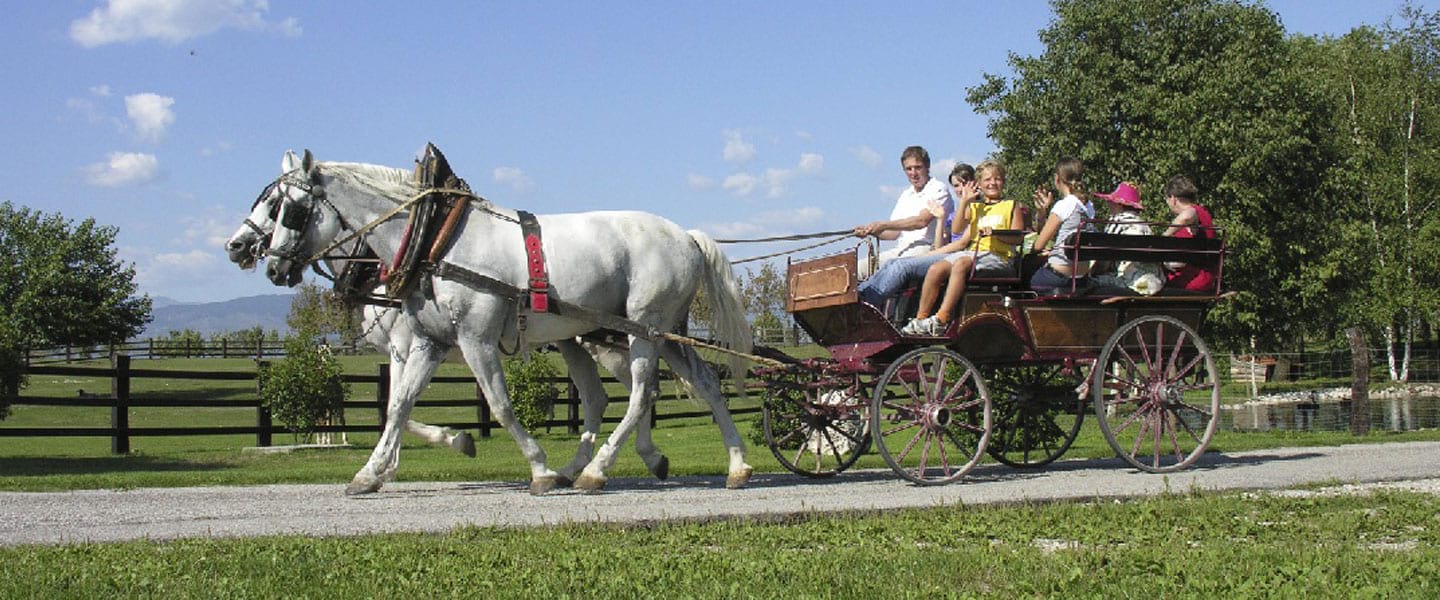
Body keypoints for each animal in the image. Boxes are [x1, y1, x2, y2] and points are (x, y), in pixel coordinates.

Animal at [253, 151, 754, 492]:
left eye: (286, 209)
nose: (270, 265)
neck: (436, 239)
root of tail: (685, 235)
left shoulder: (475, 338)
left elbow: (499, 403)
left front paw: (538, 468)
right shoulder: (428, 342)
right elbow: (398, 406)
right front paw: (371, 473)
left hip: (644, 327)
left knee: (639, 393)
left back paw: (595, 470)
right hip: (661, 331)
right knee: (700, 384)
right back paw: (735, 465)